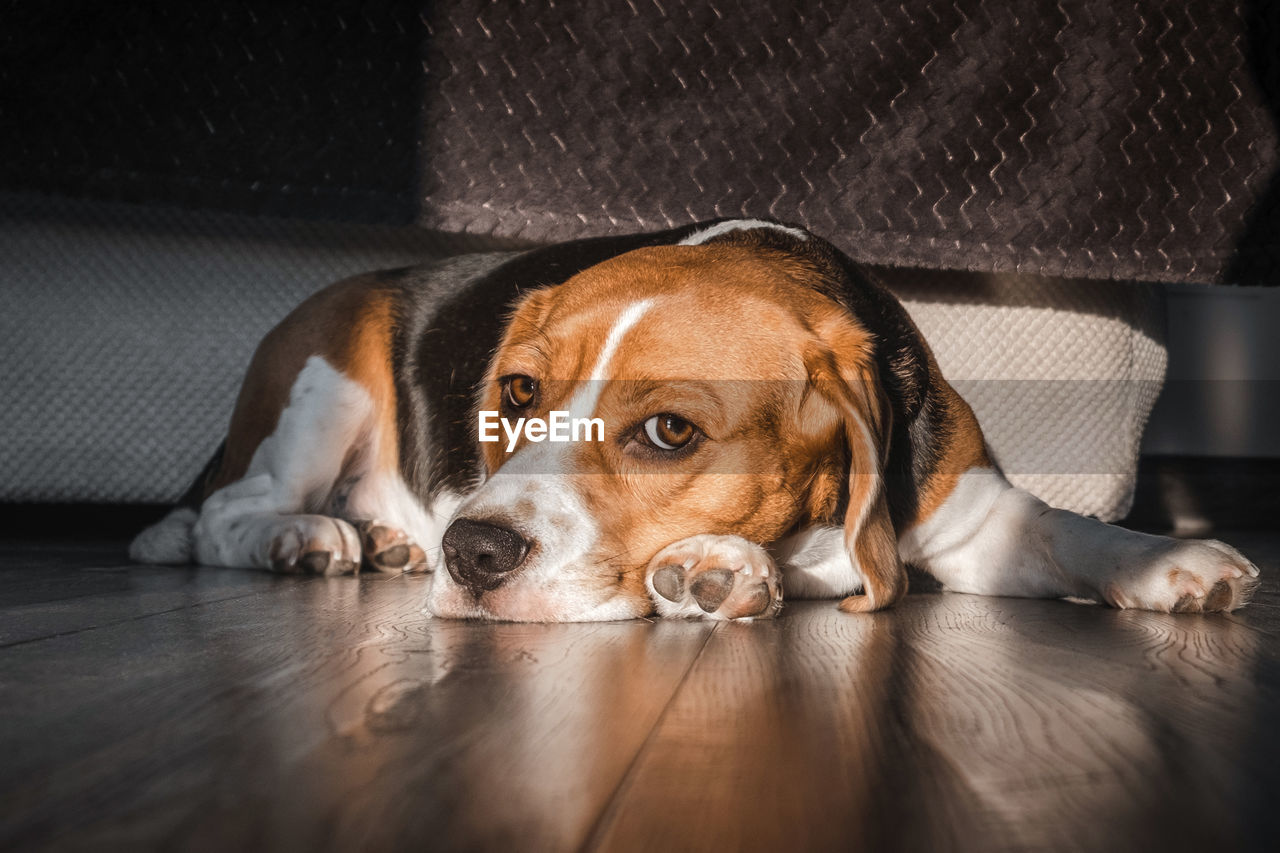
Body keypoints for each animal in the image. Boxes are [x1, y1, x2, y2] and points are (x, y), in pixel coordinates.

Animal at [132, 219, 1259, 617]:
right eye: (519, 394)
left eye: (669, 431)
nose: (472, 554)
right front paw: (720, 570)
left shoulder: (972, 512)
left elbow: (1071, 530)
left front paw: (1172, 563)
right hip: (324, 378)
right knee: (227, 513)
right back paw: (306, 538)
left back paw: (386, 542)